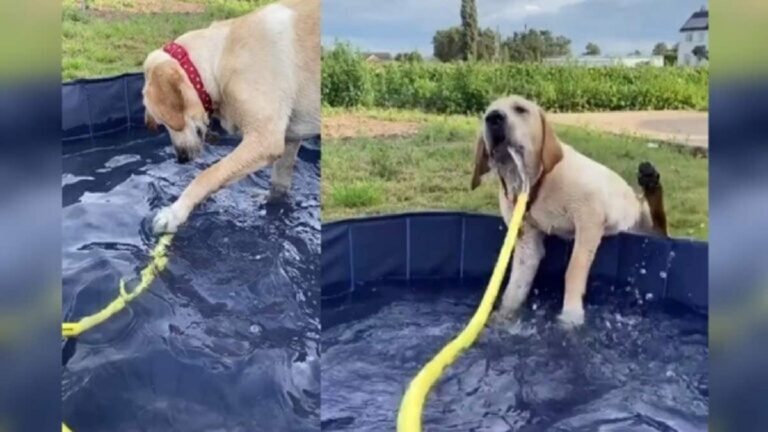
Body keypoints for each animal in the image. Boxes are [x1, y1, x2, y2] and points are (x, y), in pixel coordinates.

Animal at [141, 0, 318, 233]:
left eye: (165, 122)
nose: (181, 159)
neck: (220, 57)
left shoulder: (265, 140)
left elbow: (208, 175)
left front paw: (175, 212)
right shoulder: (288, 140)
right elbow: (279, 184)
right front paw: (271, 203)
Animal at [468, 95, 664, 328]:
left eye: (520, 109)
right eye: (486, 113)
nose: (493, 118)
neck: (536, 184)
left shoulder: (590, 218)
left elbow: (573, 270)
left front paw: (571, 315)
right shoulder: (527, 241)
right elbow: (516, 284)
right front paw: (504, 315)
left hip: (644, 219)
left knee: (660, 223)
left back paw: (650, 180)